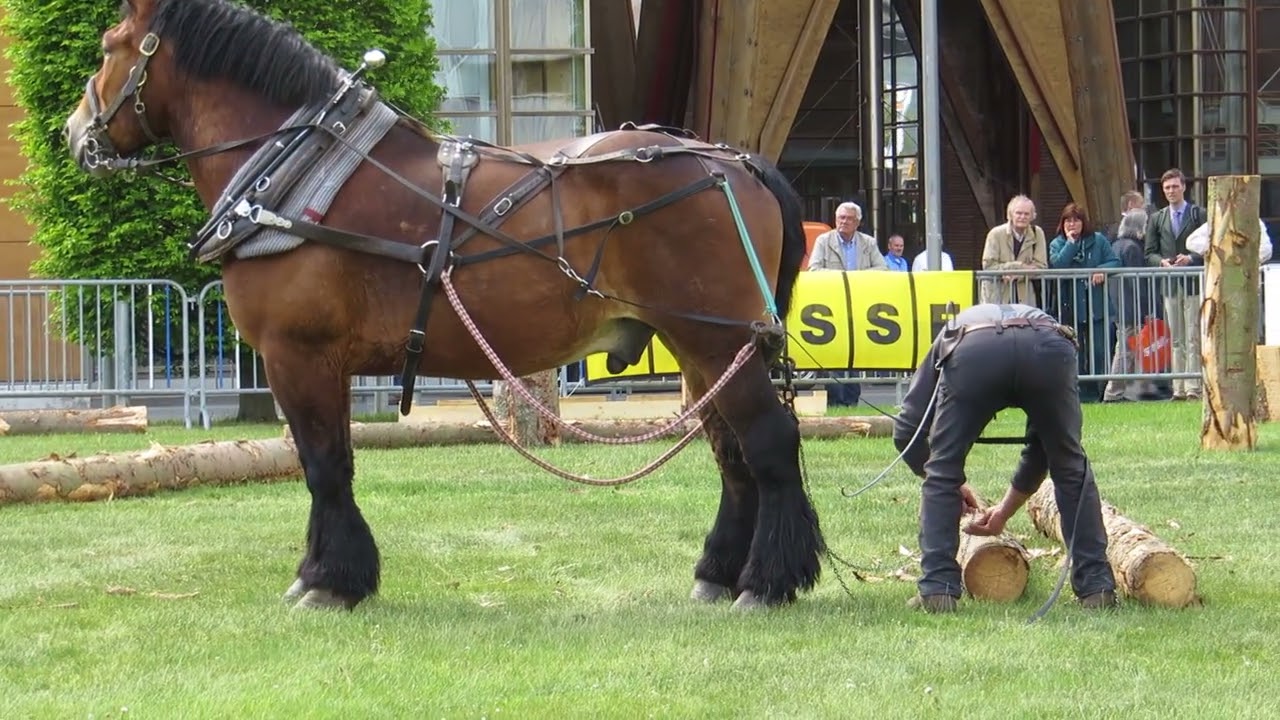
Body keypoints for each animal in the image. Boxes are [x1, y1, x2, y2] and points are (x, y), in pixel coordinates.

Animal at [64, 0, 824, 611]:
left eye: (107, 47)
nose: (75, 133)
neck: (293, 175)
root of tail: (734, 162)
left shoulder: (296, 354)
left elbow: (323, 465)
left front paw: (329, 581)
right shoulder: (322, 363)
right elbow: (333, 460)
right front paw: (328, 573)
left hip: (715, 341)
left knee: (768, 442)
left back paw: (766, 582)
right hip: (704, 348)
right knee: (731, 453)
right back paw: (718, 573)